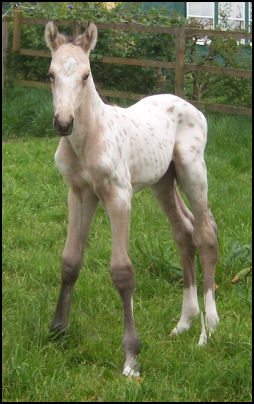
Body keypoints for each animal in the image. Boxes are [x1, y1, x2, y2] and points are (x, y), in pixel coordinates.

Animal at [46, 21, 220, 376]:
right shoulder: (79, 193)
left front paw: (131, 358)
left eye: (86, 75)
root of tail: (191, 106)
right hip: (163, 181)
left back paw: (207, 330)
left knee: (206, 233)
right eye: (51, 74)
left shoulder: (118, 195)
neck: (87, 140)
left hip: (192, 170)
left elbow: (123, 272)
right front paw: (58, 330)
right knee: (184, 231)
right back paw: (184, 322)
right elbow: (70, 261)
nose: (63, 123)